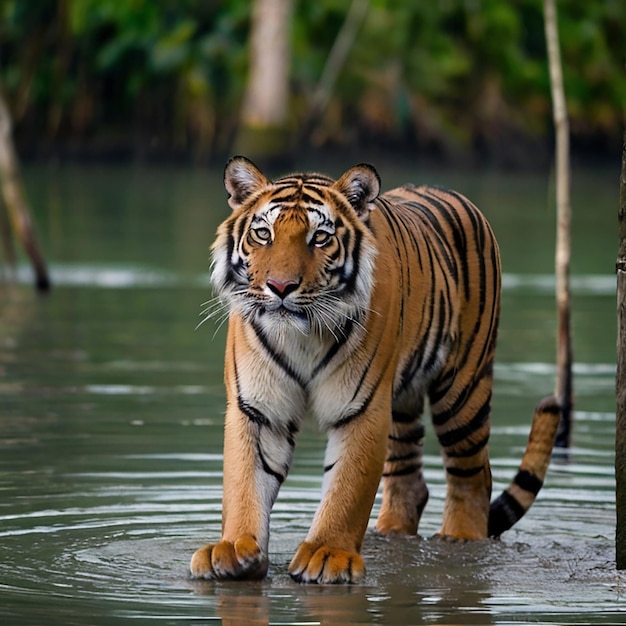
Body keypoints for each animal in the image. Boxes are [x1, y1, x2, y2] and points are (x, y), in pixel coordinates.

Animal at [188, 155, 560, 580]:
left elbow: (347, 490)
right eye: (263, 234)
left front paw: (327, 554)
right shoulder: (258, 409)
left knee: (473, 476)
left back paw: (459, 539)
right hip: (401, 402)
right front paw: (233, 549)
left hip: (461, 391)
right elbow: (244, 483)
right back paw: (392, 536)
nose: (280, 287)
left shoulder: (361, 408)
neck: (302, 337)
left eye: (320, 238)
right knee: (409, 480)